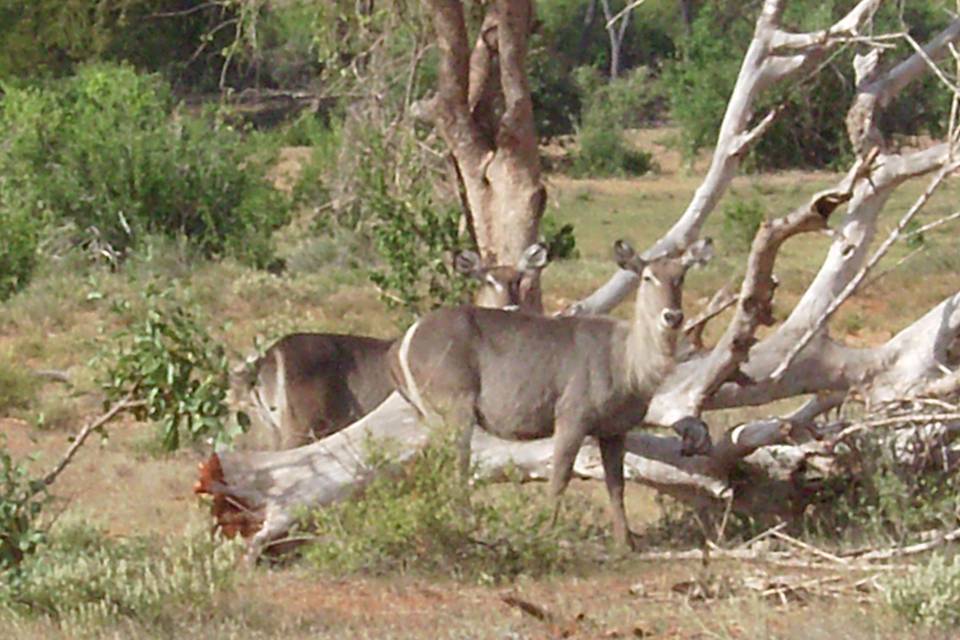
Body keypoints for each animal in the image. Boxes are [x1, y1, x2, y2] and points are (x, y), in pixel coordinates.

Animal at [230, 244, 552, 450]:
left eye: (519, 279)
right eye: (487, 281)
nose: (510, 306)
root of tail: (270, 355)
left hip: (272, 430)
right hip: (299, 427)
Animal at [388, 238, 712, 548]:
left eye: (681, 275)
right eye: (647, 277)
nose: (672, 316)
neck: (626, 360)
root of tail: (406, 339)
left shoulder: (613, 431)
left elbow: (616, 485)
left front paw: (626, 544)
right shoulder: (572, 419)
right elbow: (560, 478)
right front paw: (546, 534)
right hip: (456, 412)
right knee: (457, 467)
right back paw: (465, 528)